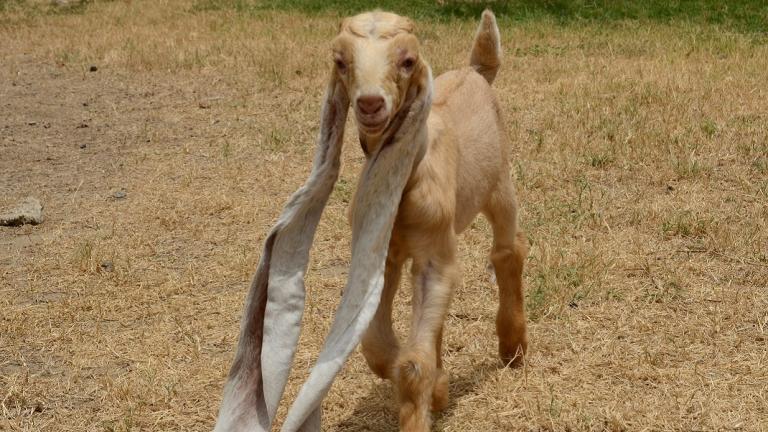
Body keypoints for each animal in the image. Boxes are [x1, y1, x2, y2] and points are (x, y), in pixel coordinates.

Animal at [214, 7, 528, 432]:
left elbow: (412, 364)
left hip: (499, 184)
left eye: (408, 60)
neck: (409, 175)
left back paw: (513, 347)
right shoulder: (385, 252)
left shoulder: (436, 254)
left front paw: (429, 393)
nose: (370, 104)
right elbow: (377, 348)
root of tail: (476, 70)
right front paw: (439, 388)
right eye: (340, 61)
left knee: (508, 249)